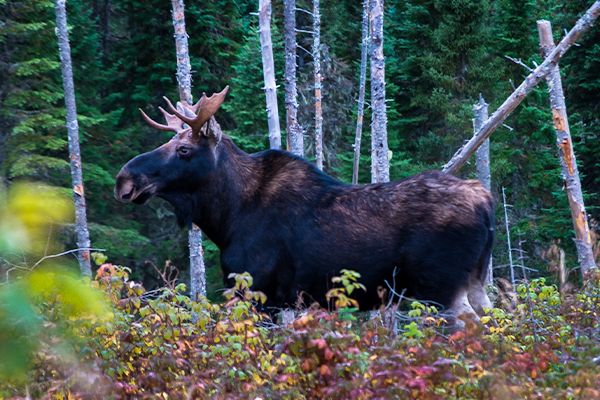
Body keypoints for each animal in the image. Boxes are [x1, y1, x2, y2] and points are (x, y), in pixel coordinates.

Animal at [115, 87, 494, 322]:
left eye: (183, 150)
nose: (124, 180)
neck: (227, 217)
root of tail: (486, 201)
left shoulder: (257, 290)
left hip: (440, 286)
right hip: (475, 280)